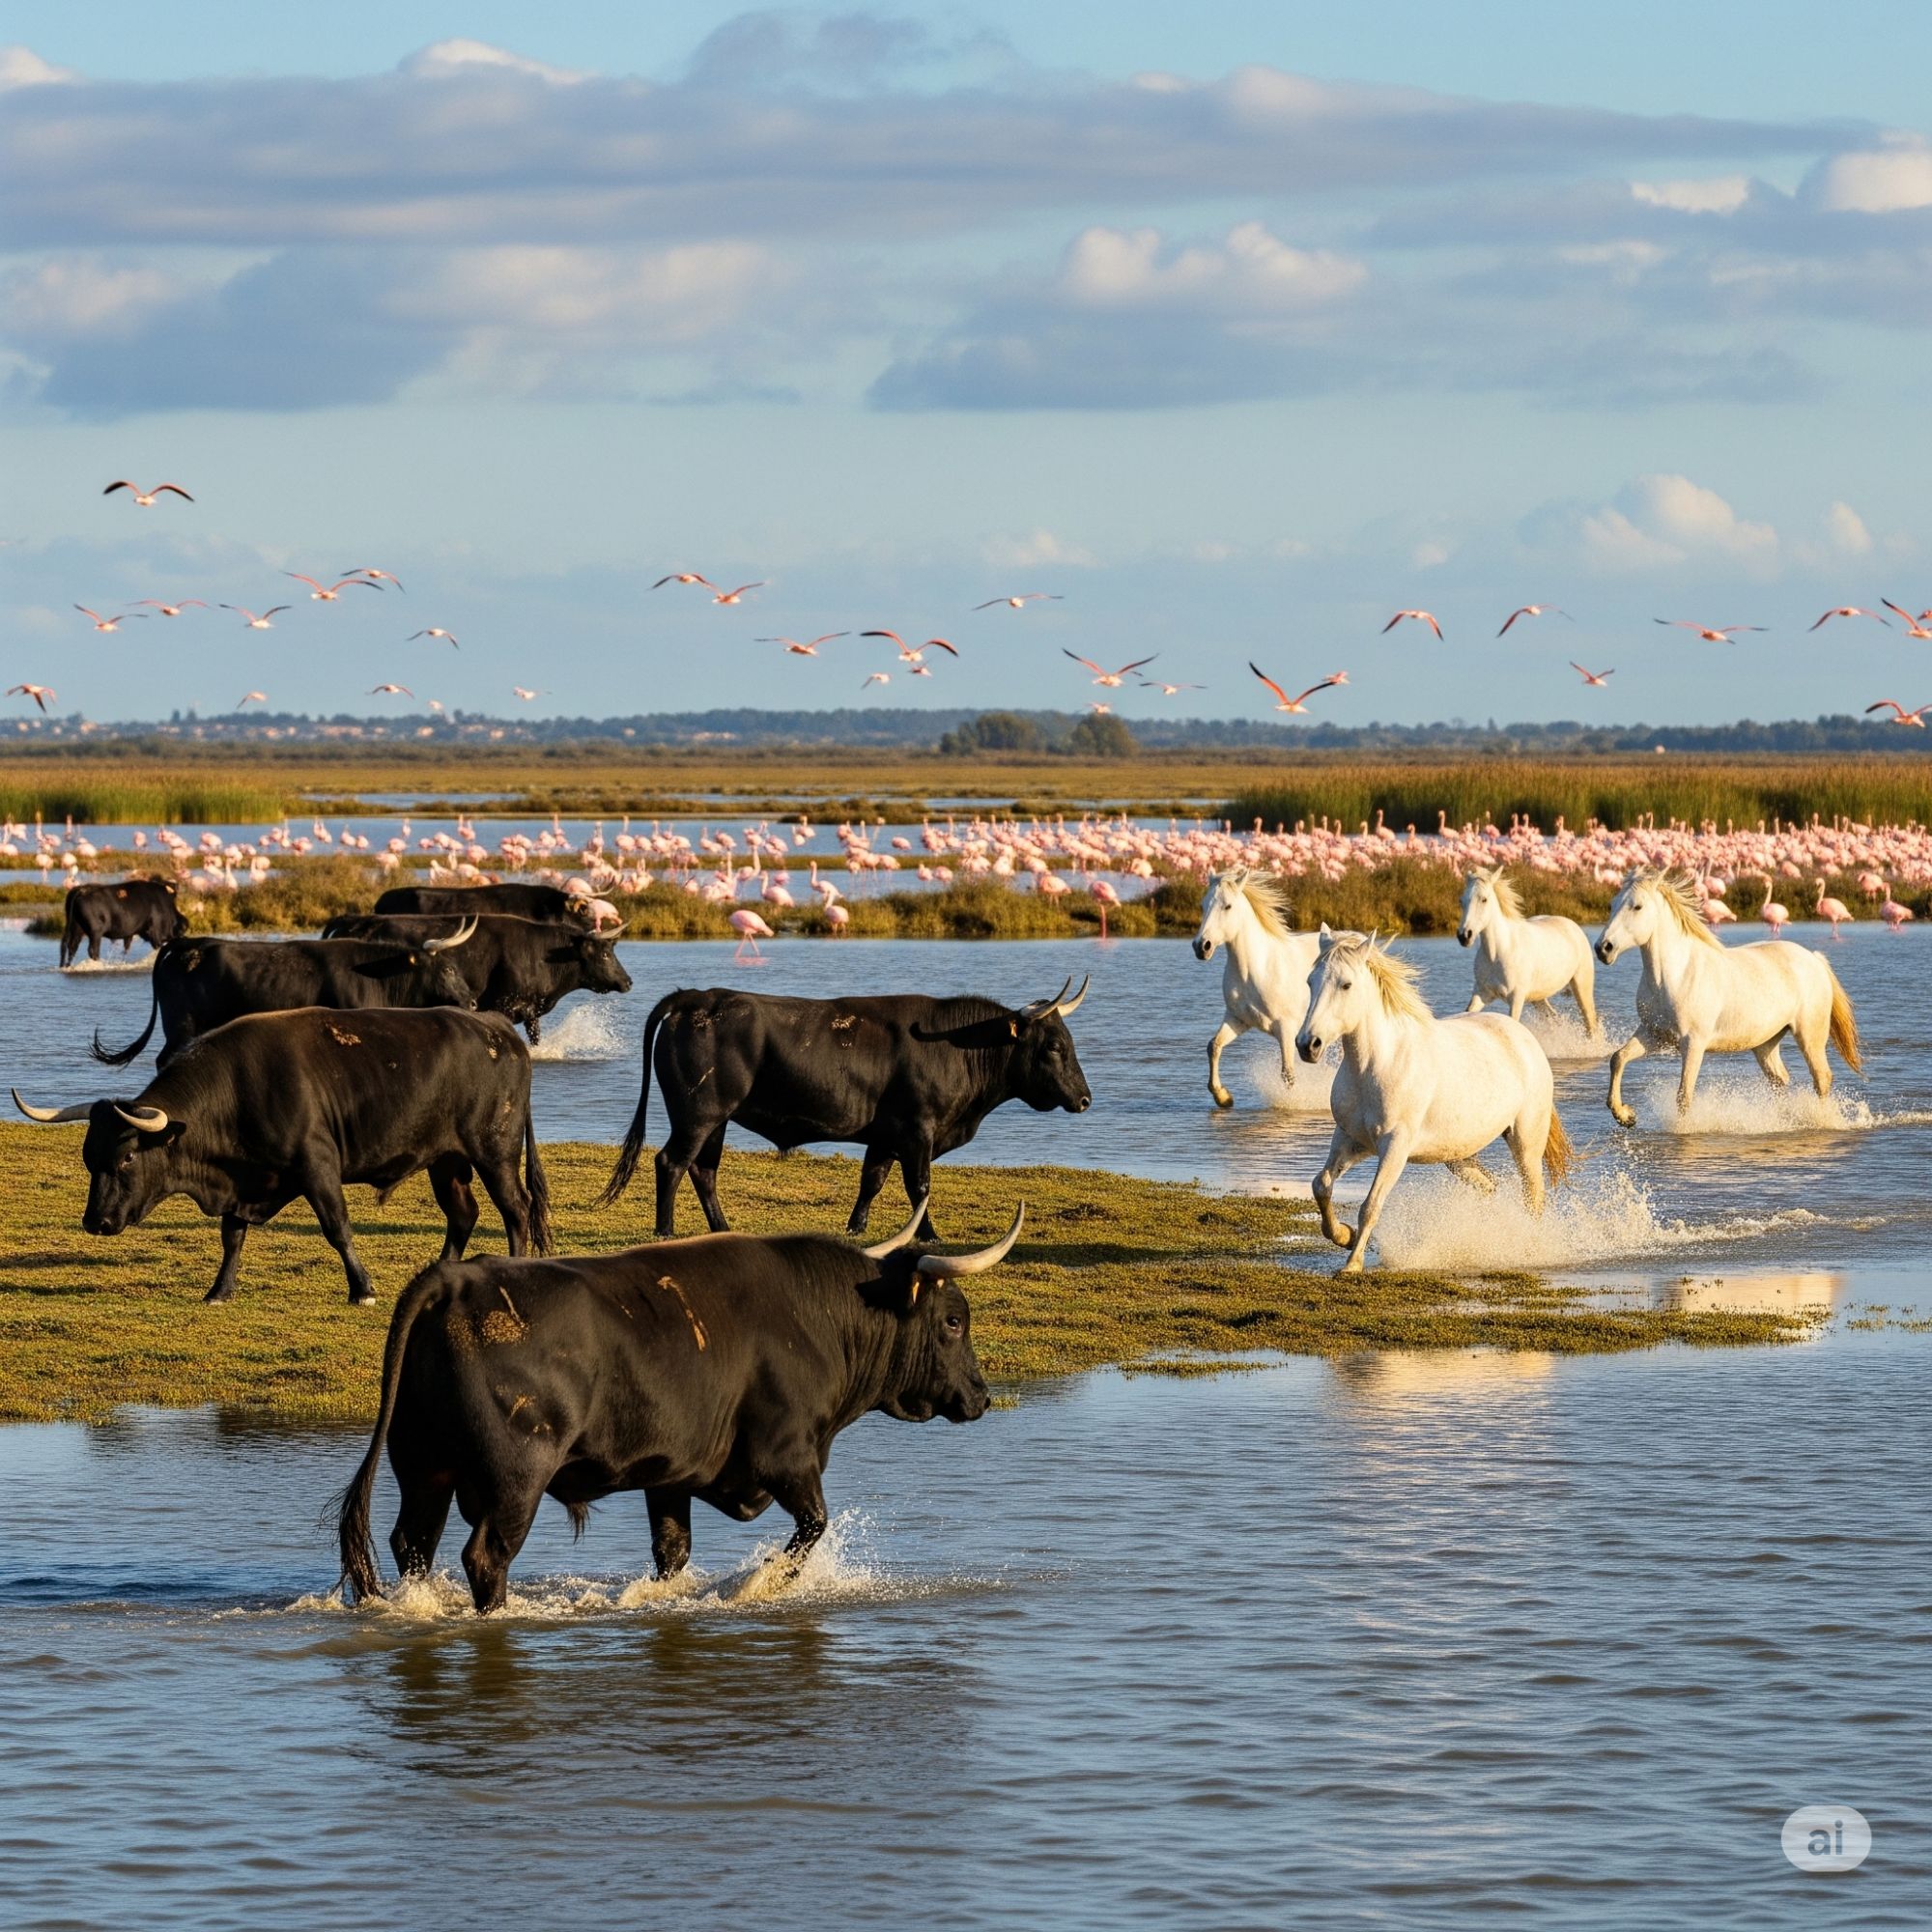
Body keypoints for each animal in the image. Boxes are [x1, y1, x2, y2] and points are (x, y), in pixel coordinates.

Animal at [1192, 868, 1323, 1108]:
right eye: (1203, 905)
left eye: (1228, 906)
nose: (1201, 947)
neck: (1256, 970)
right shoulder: (1238, 1019)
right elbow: (1213, 1046)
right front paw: (1223, 1097)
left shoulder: (1286, 1028)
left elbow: (1288, 1074)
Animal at [1297, 930, 1570, 1273]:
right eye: (1310, 982)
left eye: (1346, 984)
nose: (1308, 1045)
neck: (1376, 1065)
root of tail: (1526, 1038)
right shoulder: (1350, 1139)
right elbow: (1320, 1185)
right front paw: (1344, 1236)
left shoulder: (1395, 1147)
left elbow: (1371, 1205)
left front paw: (1352, 1264)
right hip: (1458, 1155)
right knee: (1489, 1187)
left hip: (1525, 1144)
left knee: (1533, 1197)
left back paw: (1528, 1249)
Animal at [1458, 866, 1600, 1039]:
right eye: (1461, 901)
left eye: (1484, 899)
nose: (1464, 936)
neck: (1497, 954)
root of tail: (1573, 926)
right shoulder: (1481, 994)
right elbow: (1467, 1013)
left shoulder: (1516, 999)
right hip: (1538, 997)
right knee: (1553, 1018)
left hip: (1581, 985)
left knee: (1591, 1024)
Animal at [1595, 869, 1861, 1127]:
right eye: (1612, 904)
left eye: (1637, 907)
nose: (1603, 948)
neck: (1674, 975)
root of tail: (1814, 958)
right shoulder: (1653, 1034)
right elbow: (1618, 1058)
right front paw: (1625, 1115)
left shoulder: (1693, 1043)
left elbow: (1684, 1095)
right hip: (1766, 1042)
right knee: (1779, 1079)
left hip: (1810, 1036)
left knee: (1821, 1078)